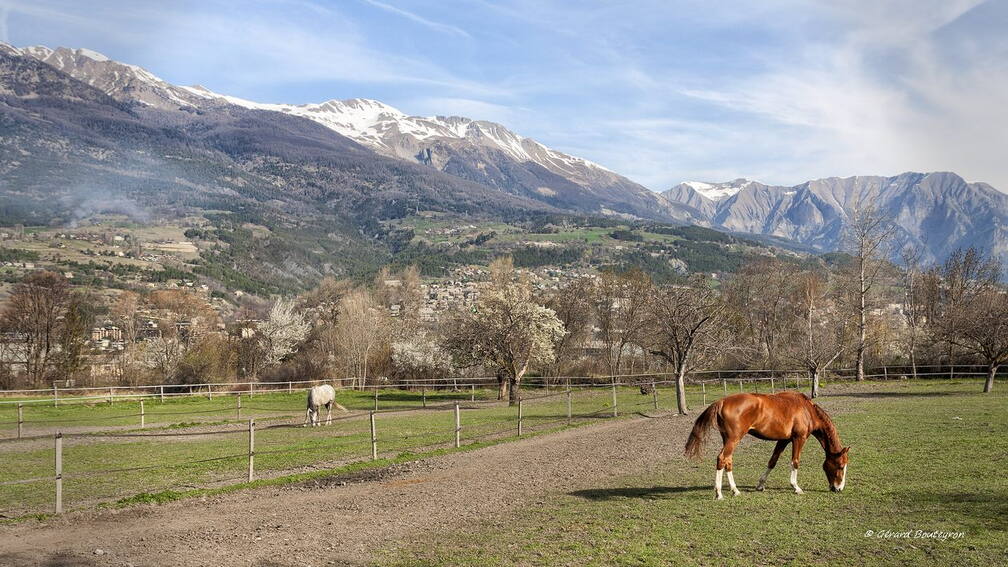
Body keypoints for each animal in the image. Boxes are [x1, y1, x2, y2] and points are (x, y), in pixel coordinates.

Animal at [685, 391, 850, 496]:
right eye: (841, 466)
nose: (839, 488)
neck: (807, 410)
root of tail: (723, 401)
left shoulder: (783, 440)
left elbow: (773, 461)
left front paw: (760, 485)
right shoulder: (799, 438)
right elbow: (795, 462)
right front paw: (796, 487)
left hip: (728, 440)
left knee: (728, 460)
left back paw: (735, 490)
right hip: (733, 439)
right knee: (722, 459)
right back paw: (719, 493)